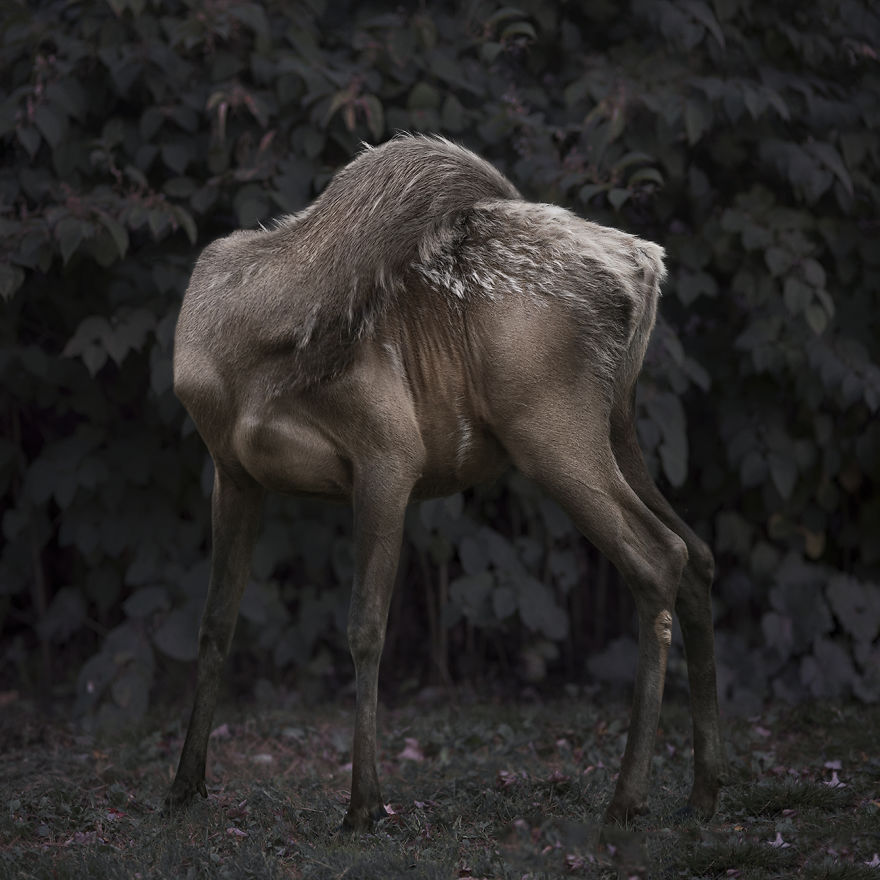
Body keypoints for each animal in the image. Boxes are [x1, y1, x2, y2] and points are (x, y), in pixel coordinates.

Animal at [168, 134, 724, 828]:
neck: (261, 342)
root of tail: (646, 268)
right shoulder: (231, 470)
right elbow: (216, 621)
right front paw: (184, 786)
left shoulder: (389, 451)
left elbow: (366, 626)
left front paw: (365, 804)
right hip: (616, 421)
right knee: (696, 552)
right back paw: (703, 791)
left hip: (550, 423)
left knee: (659, 554)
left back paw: (628, 797)